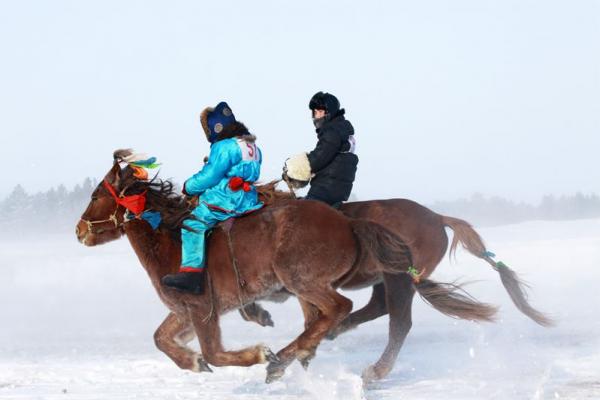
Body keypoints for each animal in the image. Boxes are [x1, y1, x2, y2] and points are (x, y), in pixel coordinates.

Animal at [77, 152, 552, 382]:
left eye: (98, 194)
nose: (80, 230)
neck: (172, 238)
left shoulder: (202, 308)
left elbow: (213, 350)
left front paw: (256, 354)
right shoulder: (186, 313)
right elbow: (162, 340)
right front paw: (193, 362)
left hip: (341, 279)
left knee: (368, 316)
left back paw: (315, 363)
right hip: (366, 281)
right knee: (349, 314)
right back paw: (306, 352)